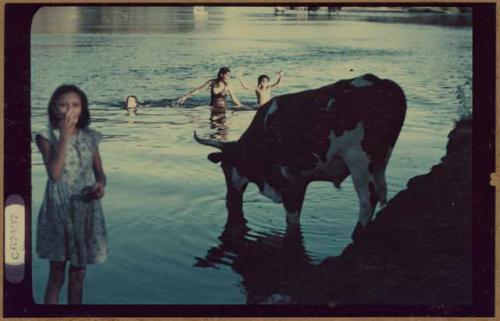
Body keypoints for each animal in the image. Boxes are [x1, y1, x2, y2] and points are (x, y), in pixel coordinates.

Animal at [192, 74, 406, 239]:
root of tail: (383, 83)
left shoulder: (286, 181)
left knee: (368, 198)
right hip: (380, 161)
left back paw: (357, 234)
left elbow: (292, 220)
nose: (230, 199)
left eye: (224, 167)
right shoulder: (300, 180)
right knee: (381, 192)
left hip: (359, 159)